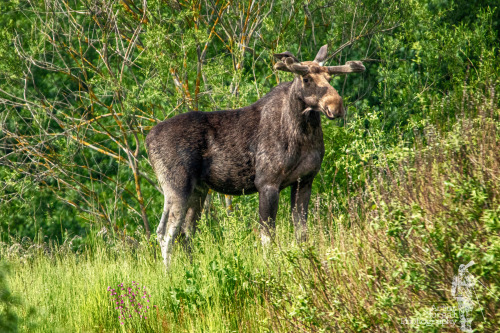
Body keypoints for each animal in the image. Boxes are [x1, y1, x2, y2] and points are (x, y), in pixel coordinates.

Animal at [146, 44, 366, 264]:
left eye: (330, 78)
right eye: (306, 79)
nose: (336, 106)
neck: (303, 133)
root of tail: (148, 140)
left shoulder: (304, 181)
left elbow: (301, 233)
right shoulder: (267, 183)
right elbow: (267, 236)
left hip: (198, 190)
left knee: (185, 231)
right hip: (176, 185)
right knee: (166, 232)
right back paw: (169, 271)